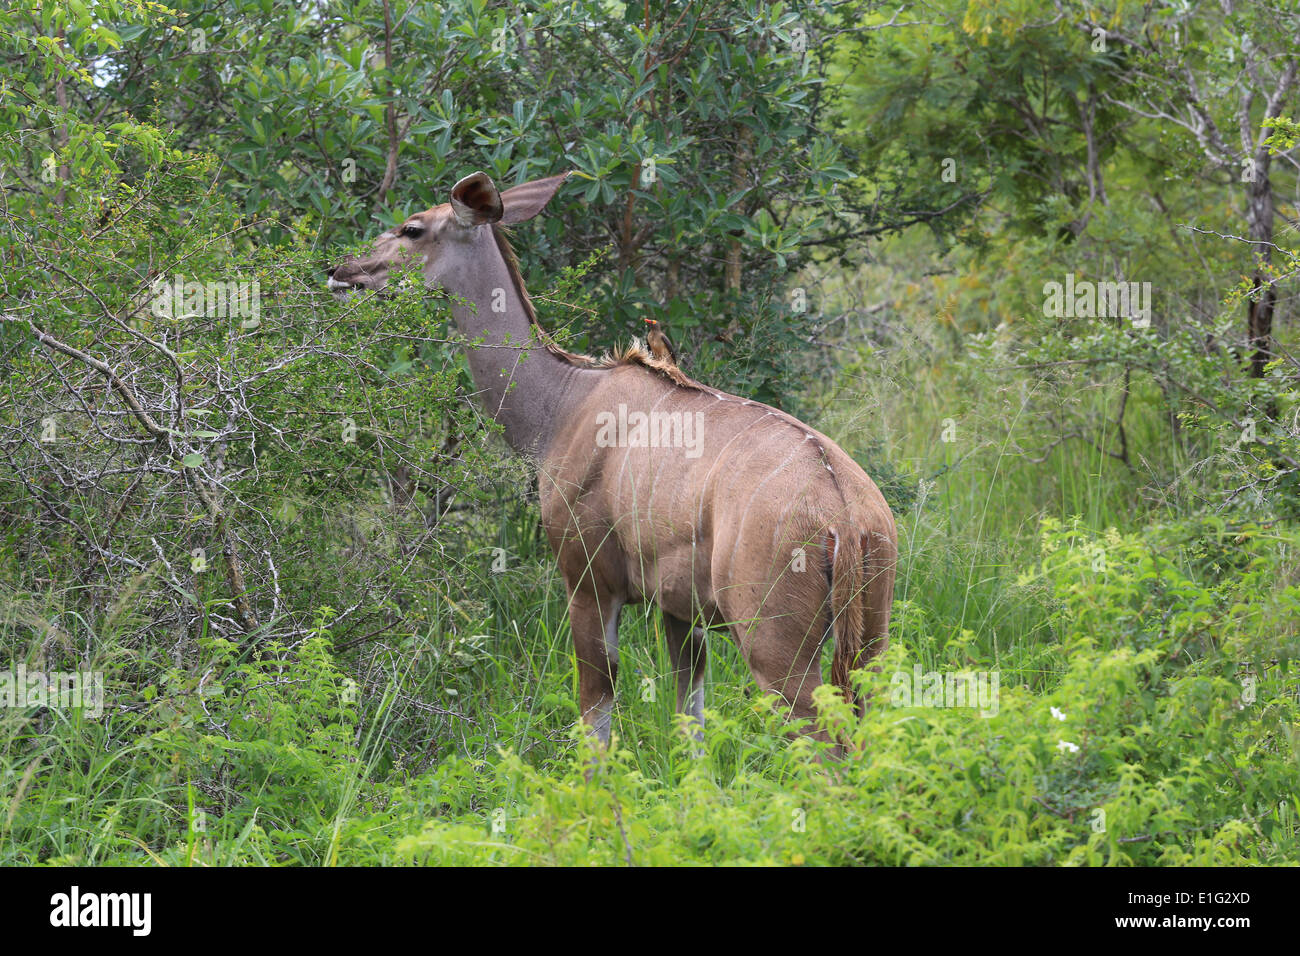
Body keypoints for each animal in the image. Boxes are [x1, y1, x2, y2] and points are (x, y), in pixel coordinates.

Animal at [327, 171, 894, 754]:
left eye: (412, 228)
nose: (340, 270)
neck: (565, 404)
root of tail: (847, 517)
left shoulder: (588, 582)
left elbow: (595, 716)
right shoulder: (680, 611)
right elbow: (689, 721)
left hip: (775, 648)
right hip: (869, 644)